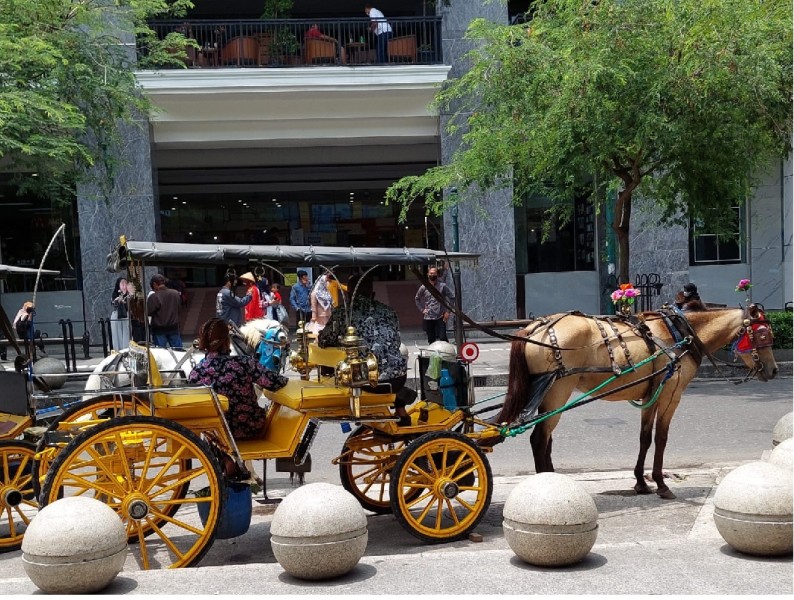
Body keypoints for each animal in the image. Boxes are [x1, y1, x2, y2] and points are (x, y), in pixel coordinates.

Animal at [496, 302, 772, 500]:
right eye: (762, 334)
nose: (773, 370)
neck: (677, 334)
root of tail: (535, 327)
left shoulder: (650, 396)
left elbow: (645, 437)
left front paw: (640, 481)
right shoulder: (671, 394)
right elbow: (661, 438)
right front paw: (661, 483)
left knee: (545, 441)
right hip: (556, 392)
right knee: (539, 439)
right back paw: (546, 483)